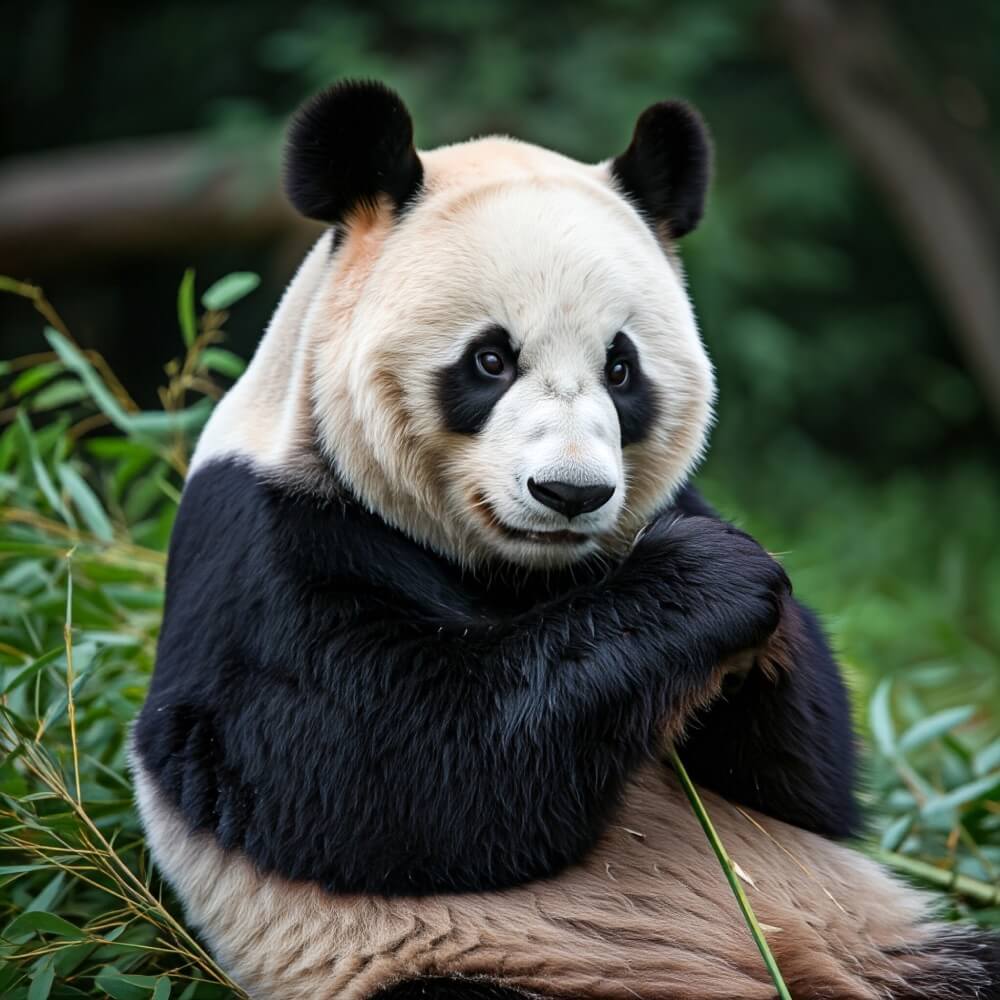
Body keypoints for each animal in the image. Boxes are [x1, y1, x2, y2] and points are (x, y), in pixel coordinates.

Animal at [131, 80, 1000, 1000]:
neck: (526, 574)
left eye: (622, 368)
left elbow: (808, 791)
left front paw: (752, 606)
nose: (571, 493)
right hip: (490, 967)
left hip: (878, 938)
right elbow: (381, 768)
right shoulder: (263, 546)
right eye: (489, 359)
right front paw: (712, 580)